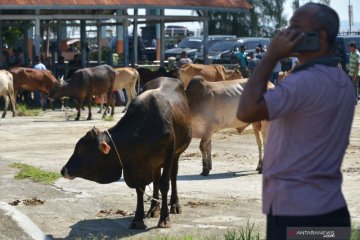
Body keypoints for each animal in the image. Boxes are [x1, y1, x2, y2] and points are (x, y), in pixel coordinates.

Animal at [60, 77, 193, 229]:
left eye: (82, 149)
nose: (64, 170)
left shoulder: (168, 155)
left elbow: (164, 184)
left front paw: (164, 219)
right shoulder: (137, 168)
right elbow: (140, 189)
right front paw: (138, 219)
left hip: (176, 154)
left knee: (173, 176)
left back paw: (175, 205)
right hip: (155, 164)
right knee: (155, 180)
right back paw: (153, 208)